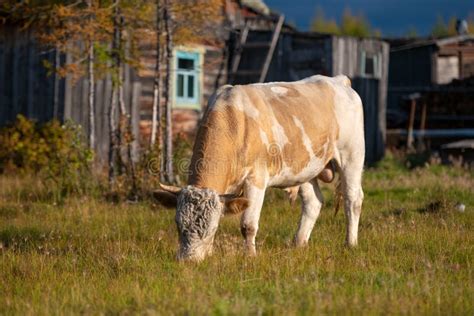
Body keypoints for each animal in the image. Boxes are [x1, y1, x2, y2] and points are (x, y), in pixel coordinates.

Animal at [157, 74, 364, 262]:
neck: (233, 120)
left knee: (353, 199)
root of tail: (338, 80)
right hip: (304, 168)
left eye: (213, 228)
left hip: (352, 154)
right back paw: (299, 243)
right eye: (178, 224)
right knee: (314, 202)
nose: (188, 260)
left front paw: (250, 255)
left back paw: (351, 243)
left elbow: (248, 224)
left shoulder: (256, 178)